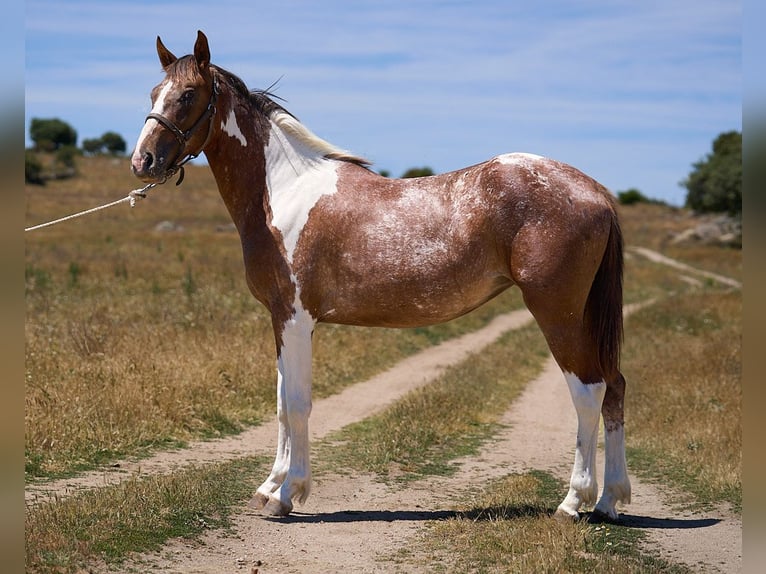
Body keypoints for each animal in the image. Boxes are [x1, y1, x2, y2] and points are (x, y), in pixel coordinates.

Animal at [134, 32, 632, 528]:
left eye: (188, 95)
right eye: (154, 93)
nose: (143, 161)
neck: (282, 192)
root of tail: (595, 191)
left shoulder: (296, 318)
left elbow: (297, 404)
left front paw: (288, 493)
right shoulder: (281, 320)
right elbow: (280, 405)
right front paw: (270, 487)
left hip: (558, 313)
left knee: (589, 391)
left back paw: (573, 502)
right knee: (615, 388)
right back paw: (609, 500)